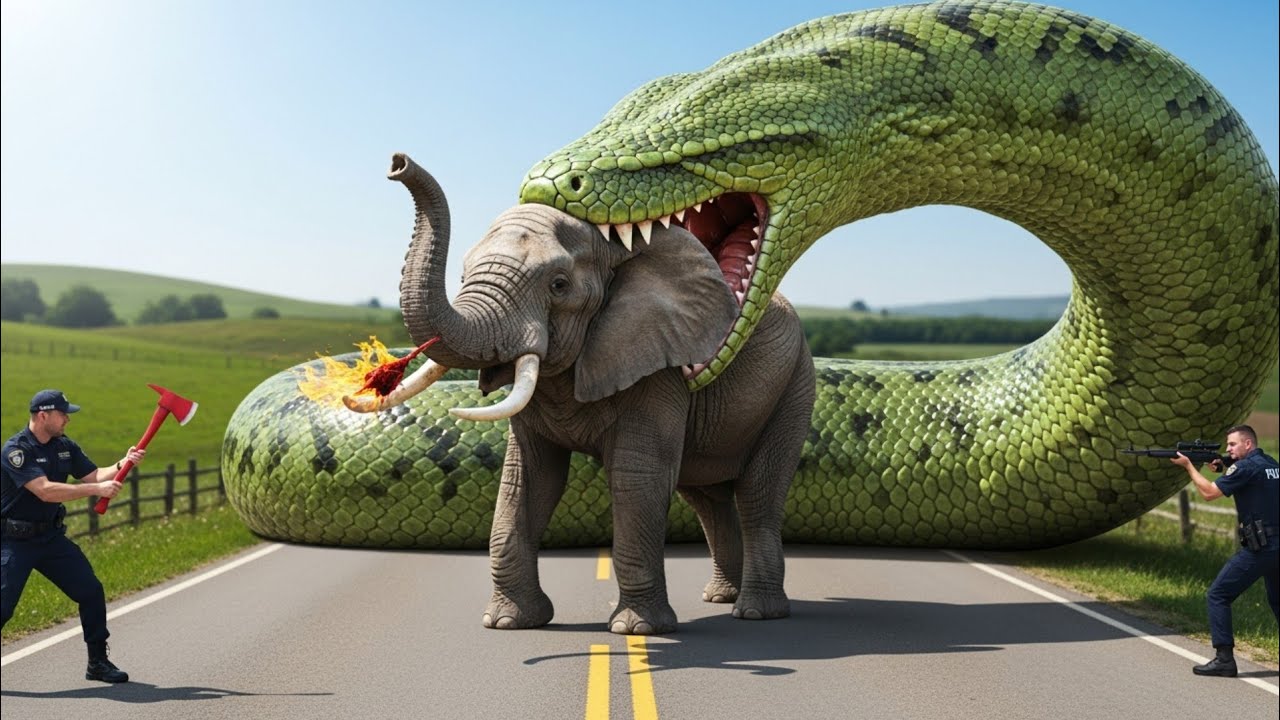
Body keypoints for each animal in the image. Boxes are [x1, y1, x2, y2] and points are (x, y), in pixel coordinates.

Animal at [349, 153, 816, 635]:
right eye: (462, 276)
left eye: (558, 285)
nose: (398, 163)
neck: (615, 246)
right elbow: (527, 477)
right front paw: (508, 623)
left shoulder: (657, 364)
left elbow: (638, 476)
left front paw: (637, 629)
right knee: (708, 498)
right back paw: (721, 598)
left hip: (795, 383)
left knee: (757, 494)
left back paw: (756, 611)